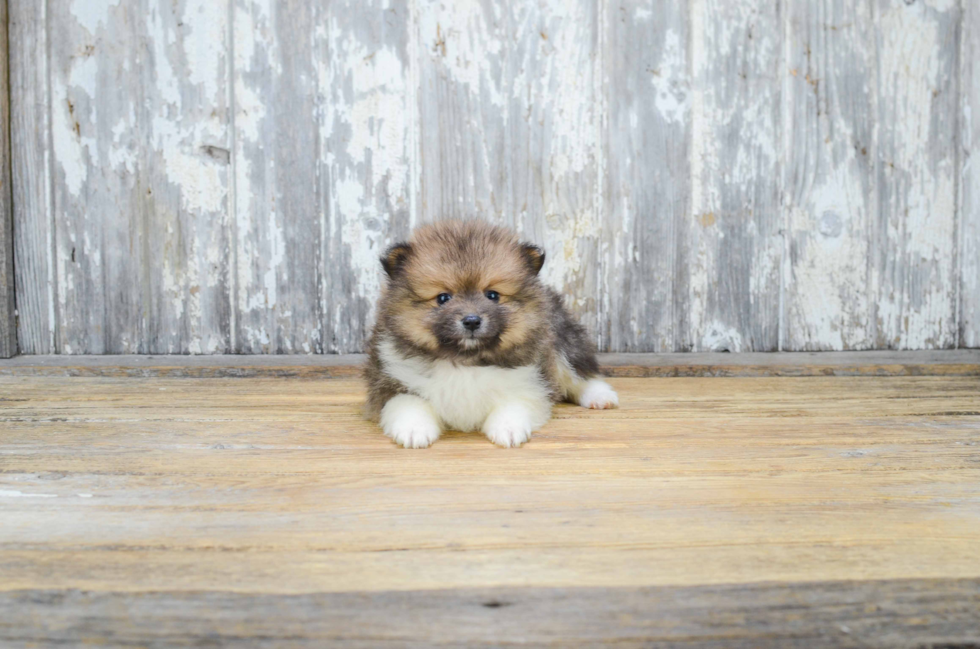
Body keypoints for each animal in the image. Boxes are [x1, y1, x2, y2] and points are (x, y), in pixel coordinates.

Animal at [364, 218, 616, 446]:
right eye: (443, 298)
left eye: (492, 295)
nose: (472, 321)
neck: (465, 361)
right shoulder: (390, 380)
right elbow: (408, 403)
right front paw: (414, 430)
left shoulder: (532, 380)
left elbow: (515, 403)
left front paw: (508, 428)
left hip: (564, 340)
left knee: (580, 374)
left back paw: (600, 397)